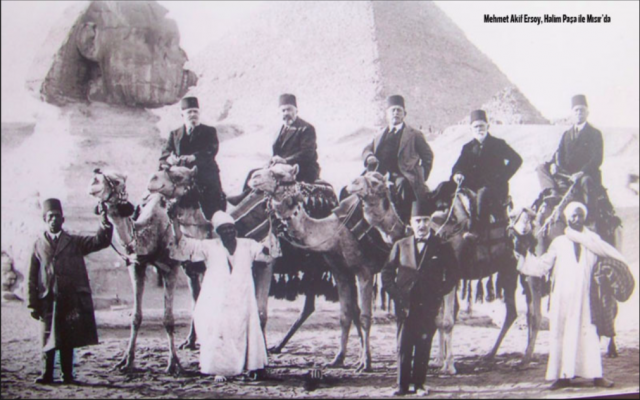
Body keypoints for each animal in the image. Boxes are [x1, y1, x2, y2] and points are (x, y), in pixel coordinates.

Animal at [87, 167, 185, 374]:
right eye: (99, 174)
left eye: (117, 181)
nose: (94, 180)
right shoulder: (136, 266)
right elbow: (135, 317)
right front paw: (127, 361)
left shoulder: (171, 268)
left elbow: (168, 319)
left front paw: (173, 364)